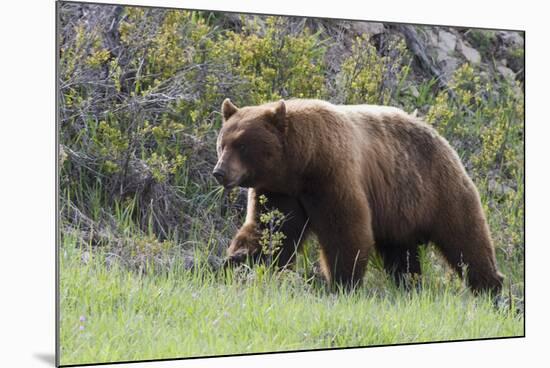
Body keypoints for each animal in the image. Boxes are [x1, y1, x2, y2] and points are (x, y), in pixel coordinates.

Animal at [213, 98, 506, 294]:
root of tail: (442, 137)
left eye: (242, 145)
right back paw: (409, 285)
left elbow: (346, 230)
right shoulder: (280, 191)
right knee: (402, 255)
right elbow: (271, 231)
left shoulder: (332, 175)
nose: (219, 172)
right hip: (399, 210)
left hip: (438, 189)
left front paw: (342, 283)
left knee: (466, 239)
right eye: (222, 144)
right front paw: (235, 261)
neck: (300, 163)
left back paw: (491, 287)